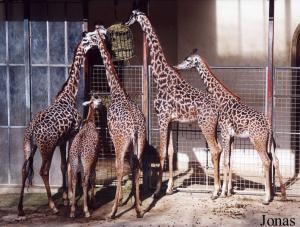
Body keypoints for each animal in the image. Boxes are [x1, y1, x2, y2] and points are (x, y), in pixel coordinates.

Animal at [82, 27, 146, 219]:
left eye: (90, 38)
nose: (83, 38)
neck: (118, 91)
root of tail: (135, 127)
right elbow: (134, 168)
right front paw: (136, 203)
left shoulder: (112, 136)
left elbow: (120, 168)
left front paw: (119, 203)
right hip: (140, 141)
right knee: (137, 166)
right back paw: (139, 209)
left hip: (120, 141)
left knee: (119, 168)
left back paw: (112, 212)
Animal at [125, 9, 223, 200]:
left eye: (132, 15)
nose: (125, 22)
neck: (160, 76)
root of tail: (217, 108)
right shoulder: (170, 120)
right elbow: (170, 151)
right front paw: (169, 188)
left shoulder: (162, 117)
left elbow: (162, 152)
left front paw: (157, 191)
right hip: (213, 126)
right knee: (220, 149)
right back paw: (220, 189)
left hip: (205, 125)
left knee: (215, 149)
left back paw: (215, 191)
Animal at [175, 51, 288, 204]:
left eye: (188, 60)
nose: (176, 66)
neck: (221, 99)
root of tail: (269, 127)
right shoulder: (232, 135)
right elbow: (230, 161)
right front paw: (228, 191)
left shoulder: (224, 132)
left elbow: (225, 161)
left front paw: (221, 193)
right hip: (269, 143)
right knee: (275, 160)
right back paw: (282, 194)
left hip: (257, 141)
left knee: (266, 161)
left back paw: (266, 198)